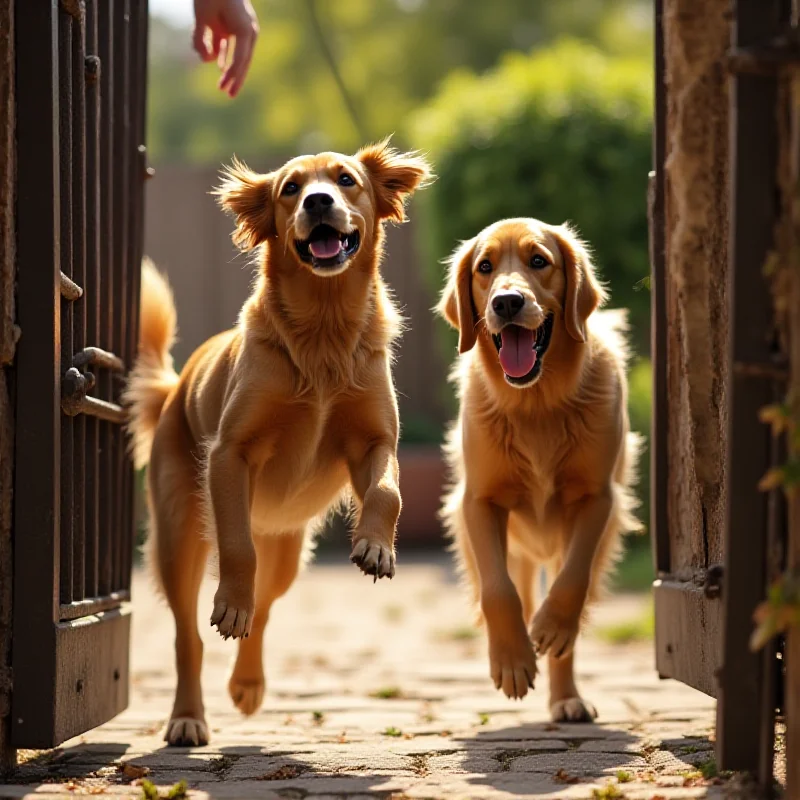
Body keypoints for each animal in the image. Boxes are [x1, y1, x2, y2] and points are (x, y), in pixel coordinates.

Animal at [125, 141, 432, 748]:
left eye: (346, 179)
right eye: (290, 188)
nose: (318, 201)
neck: (323, 330)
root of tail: (174, 390)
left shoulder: (375, 442)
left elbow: (388, 492)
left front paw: (376, 546)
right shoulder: (230, 454)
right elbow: (237, 553)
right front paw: (230, 605)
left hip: (288, 550)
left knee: (266, 608)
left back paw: (247, 684)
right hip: (179, 538)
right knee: (188, 634)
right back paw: (188, 716)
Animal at [434, 219, 640, 724]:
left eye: (539, 261)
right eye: (485, 267)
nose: (507, 302)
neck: (537, 402)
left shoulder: (598, 498)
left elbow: (572, 579)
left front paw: (551, 629)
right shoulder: (478, 502)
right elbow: (498, 592)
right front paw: (512, 661)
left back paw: (566, 697)